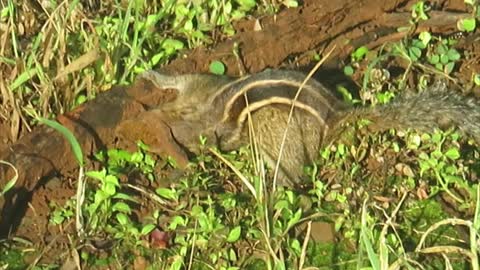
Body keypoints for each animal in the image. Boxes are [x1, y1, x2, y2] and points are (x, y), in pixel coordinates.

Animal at [137, 68, 480, 187]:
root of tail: (335, 118)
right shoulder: (201, 90)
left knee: (289, 167)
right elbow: (185, 80)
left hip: (278, 130)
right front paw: (154, 75)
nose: (150, 115)